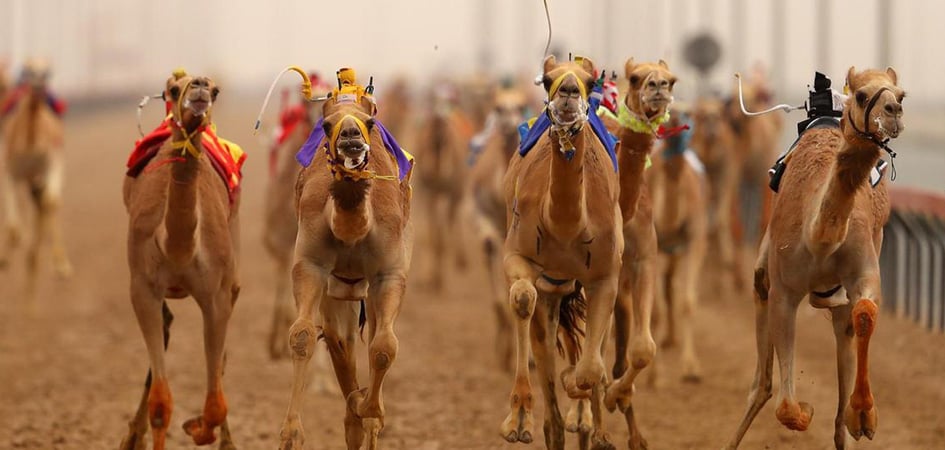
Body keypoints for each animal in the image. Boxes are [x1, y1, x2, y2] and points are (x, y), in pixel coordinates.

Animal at [0, 59, 72, 300]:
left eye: (48, 72)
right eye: (27, 70)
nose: (39, 86)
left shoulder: (50, 165)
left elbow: (49, 203)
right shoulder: (11, 171)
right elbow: (14, 224)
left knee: (47, 204)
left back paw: (58, 264)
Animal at [120, 71, 240, 450]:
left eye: (216, 90)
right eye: (173, 90)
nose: (199, 85)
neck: (178, 247)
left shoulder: (216, 295)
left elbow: (216, 402)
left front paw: (197, 427)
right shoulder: (143, 287)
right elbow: (161, 402)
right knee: (167, 323)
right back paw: (132, 436)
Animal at [278, 68, 414, 450]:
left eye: (370, 120)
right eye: (326, 125)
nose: (351, 137)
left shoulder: (389, 273)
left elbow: (384, 347)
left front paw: (373, 410)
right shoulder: (310, 264)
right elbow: (302, 336)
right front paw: (291, 434)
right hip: (339, 292)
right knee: (341, 344)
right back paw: (352, 410)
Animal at [500, 54, 623, 450]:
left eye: (590, 80)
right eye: (547, 78)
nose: (568, 90)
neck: (567, 226)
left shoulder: (605, 276)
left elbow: (589, 370)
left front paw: (584, 404)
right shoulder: (517, 255)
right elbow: (522, 298)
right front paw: (517, 421)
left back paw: (590, 422)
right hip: (552, 292)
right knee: (551, 419)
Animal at [725, 67, 905, 449]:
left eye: (901, 94)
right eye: (861, 95)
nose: (893, 111)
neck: (820, 237)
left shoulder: (863, 269)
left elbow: (865, 313)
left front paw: (863, 416)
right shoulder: (785, 290)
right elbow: (785, 407)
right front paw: (806, 411)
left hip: (837, 298)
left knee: (846, 332)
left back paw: (848, 420)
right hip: (766, 274)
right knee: (761, 384)